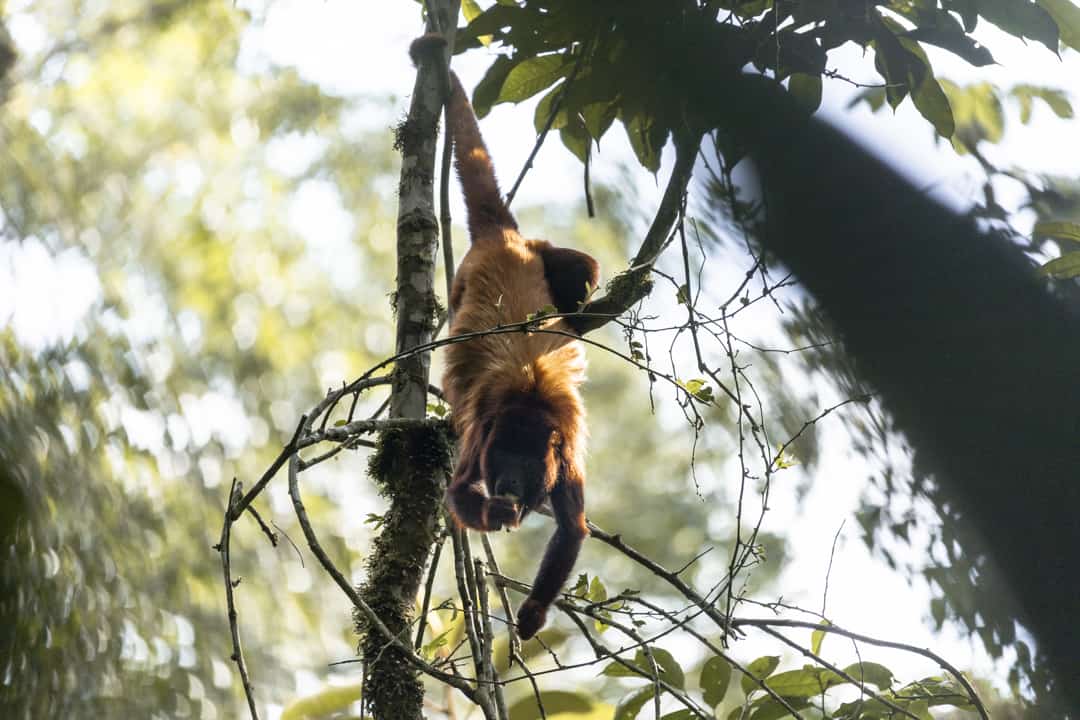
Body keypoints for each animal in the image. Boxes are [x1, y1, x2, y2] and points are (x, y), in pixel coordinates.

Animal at [410, 35, 600, 640]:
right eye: (503, 465)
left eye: (528, 467)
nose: (513, 488)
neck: (529, 403)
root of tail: (502, 240)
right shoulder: (484, 429)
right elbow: (457, 492)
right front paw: (493, 511)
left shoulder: (566, 451)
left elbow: (573, 526)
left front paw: (535, 611)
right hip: (467, 276)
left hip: (541, 249)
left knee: (583, 268)